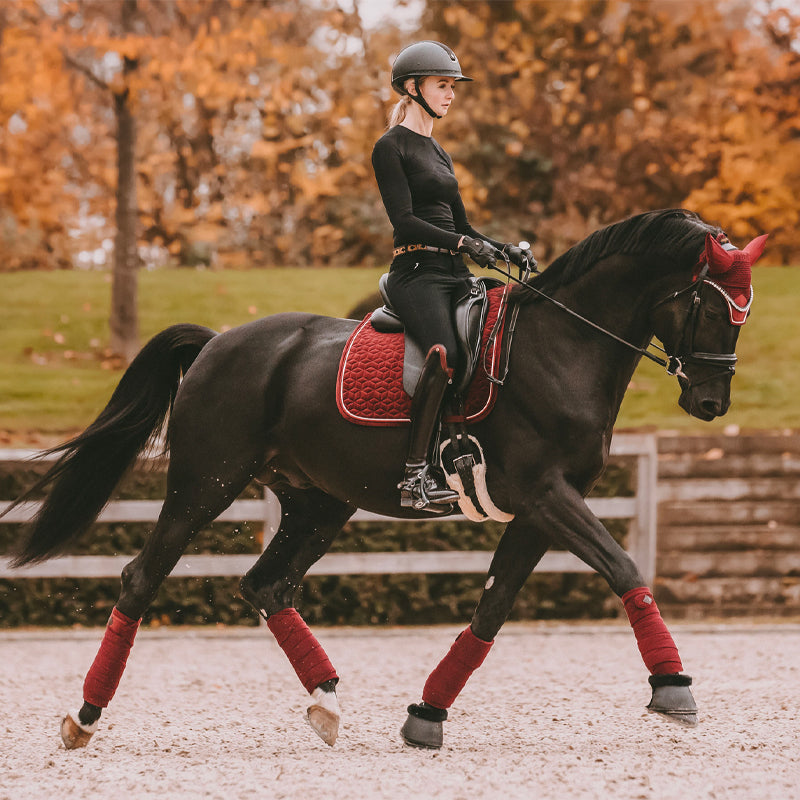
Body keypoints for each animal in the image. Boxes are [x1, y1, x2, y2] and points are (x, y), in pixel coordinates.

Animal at [7, 208, 768, 752]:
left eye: (744, 311)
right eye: (712, 307)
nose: (711, 403)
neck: (563, 348)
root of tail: (219, 341)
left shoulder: (536, 509)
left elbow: (492, 609)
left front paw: (427, 714)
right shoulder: (545, 494)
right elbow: (622, 566)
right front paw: (673, 687)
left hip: (318, 503)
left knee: (266, 585)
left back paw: (325, 701)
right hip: (205, 486)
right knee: (142, 578)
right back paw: (84, 715)